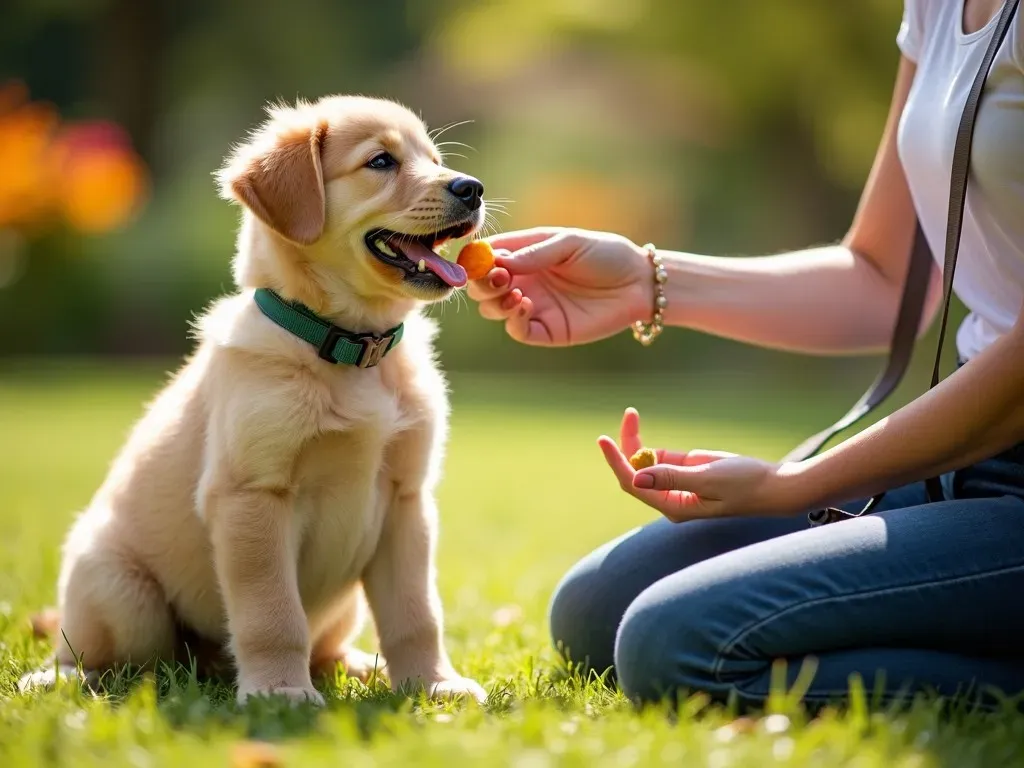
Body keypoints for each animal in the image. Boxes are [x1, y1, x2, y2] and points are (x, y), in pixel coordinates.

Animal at [18, 94, 487, 704]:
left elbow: (417, 612)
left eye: (434, 159)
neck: (349, 346)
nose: (472, 188)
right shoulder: (252, 495)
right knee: (111, 657)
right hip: (122, 593)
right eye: (381, 161)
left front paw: (433, 684)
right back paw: (63, 677)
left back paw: (360, 665)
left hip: (345, 606)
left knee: (325, 649)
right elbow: (273, 613)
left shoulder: (407, 500)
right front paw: (280, 694)